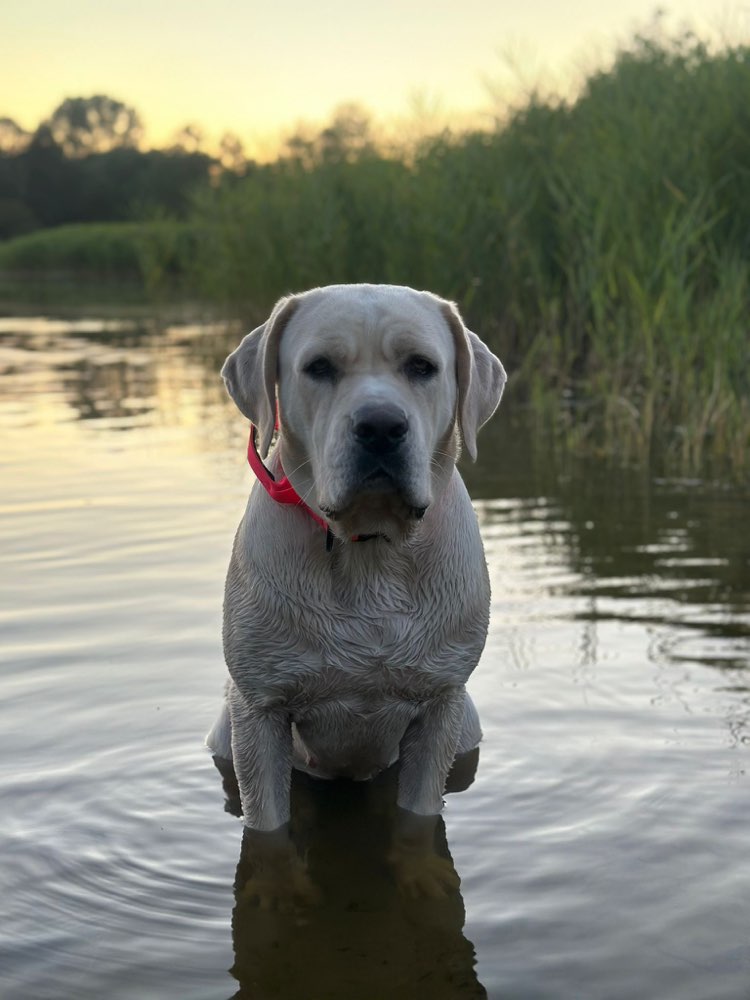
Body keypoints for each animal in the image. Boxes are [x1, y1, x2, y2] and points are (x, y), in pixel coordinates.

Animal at [209, 286, 508, 880]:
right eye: (319, 367)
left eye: (422, 366)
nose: (381, 426)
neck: (368, 549)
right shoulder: (260, 713)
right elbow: (268, 832)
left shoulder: (439, 709)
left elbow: (417, 822)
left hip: (465, 725)